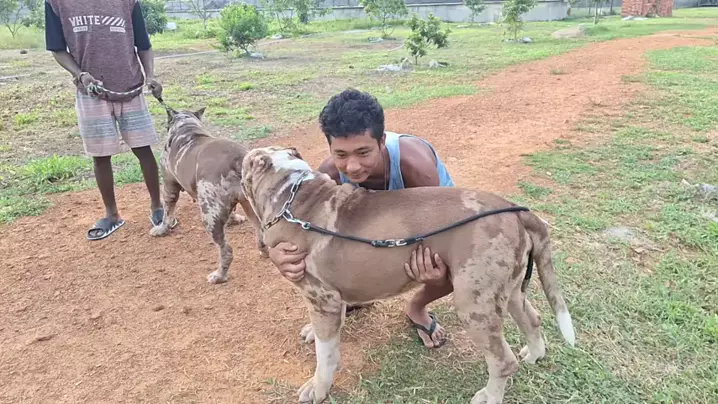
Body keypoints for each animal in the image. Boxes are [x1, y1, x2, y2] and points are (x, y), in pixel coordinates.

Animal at [149, 107, 267, 284]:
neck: (187, 127)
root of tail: (238, 159)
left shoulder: (169, 186)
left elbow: (167, 213)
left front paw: (161, 229)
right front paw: (234, 219)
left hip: (209, 216)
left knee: (226, 251)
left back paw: (219, 276)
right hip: (251, 207)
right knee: (262, 234)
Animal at [240, 146, 576, 404]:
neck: (291, 193)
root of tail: (514, 209)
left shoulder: (323, 299)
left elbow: (326, 356)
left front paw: (317, 389)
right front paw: (312, 332)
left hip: (474, 302)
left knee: (502, 361)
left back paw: (490, 396)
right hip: (509, 288)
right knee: (532, 319)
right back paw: (534, 355)